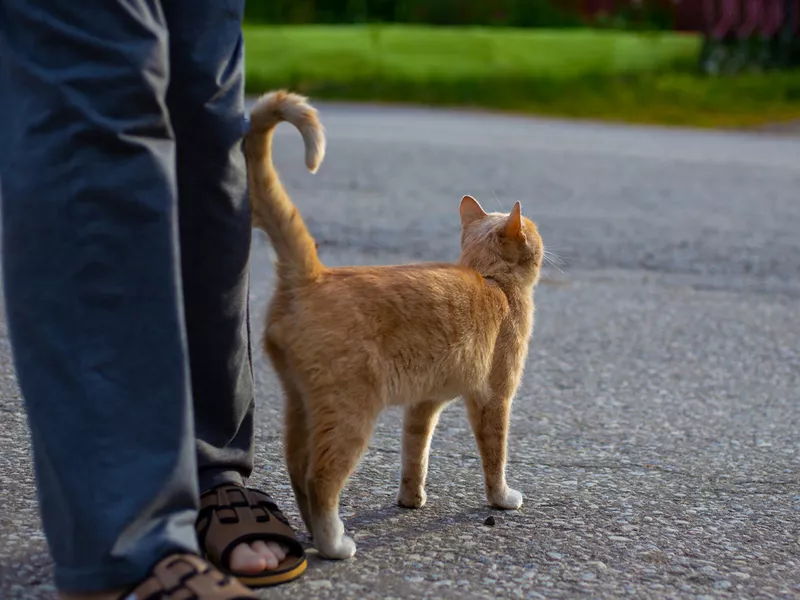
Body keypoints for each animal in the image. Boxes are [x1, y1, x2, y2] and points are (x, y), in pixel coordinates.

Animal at [244, 91, 544, 560]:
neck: (492, 280)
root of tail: (313, 275)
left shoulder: (423, 402)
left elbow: (414, 452)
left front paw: (411, 499)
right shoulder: (494, 398)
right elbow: (495, 455)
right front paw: (501, 498)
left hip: (301, 404)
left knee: (296, 471)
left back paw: (314, 532)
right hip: (350, 412)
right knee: (320, 479)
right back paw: (334, 543)